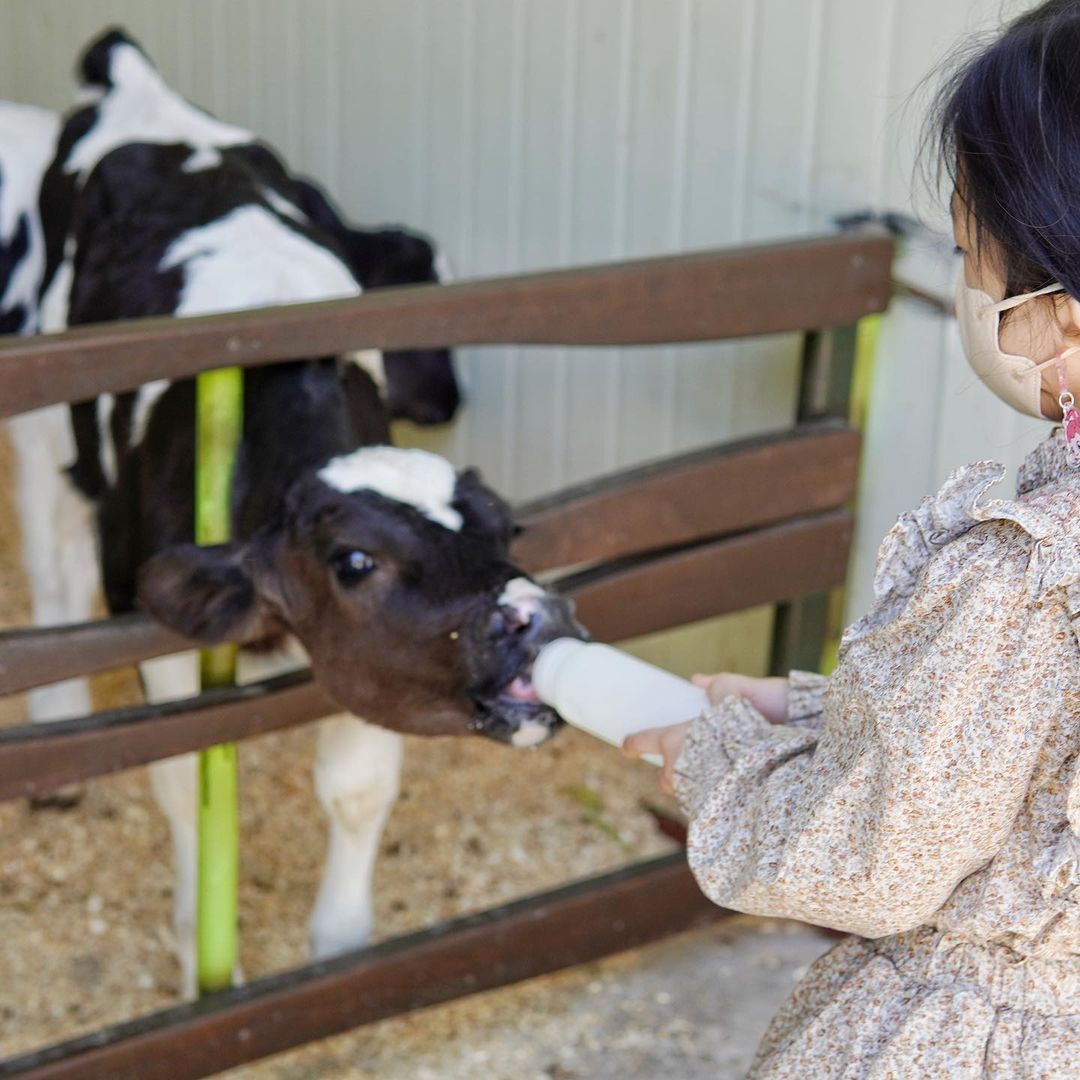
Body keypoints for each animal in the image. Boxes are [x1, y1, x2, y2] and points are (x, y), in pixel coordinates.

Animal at [8, 31, 578, 993]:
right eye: (354, 560)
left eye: (504, 524)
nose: (539, 619)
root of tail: (133, 77)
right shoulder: (161, 629)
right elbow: (183, 784)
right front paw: (202, 956)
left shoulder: (373, 664)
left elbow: (355, 788)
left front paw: (340, 953)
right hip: (47, 421)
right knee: (55, 569)